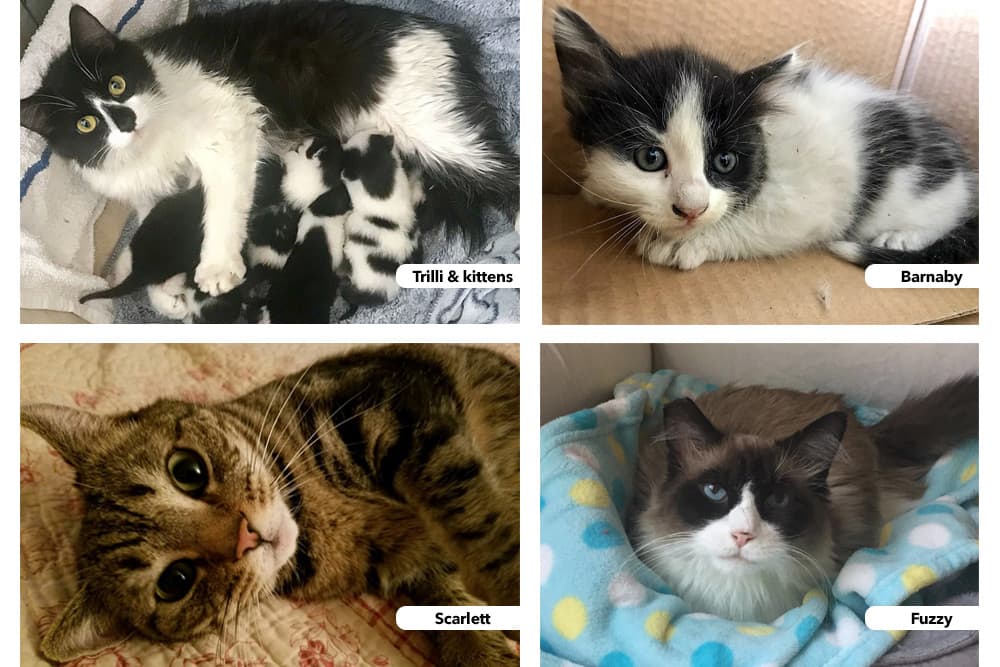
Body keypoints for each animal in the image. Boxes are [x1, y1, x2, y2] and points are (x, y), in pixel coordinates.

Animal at [19, 348, 520, 664]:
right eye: (175, 581)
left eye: (187, 470)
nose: (248, 536)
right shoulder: (417, 565)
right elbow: (453, 607)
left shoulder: (390, 399)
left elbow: (475, 520)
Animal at [20, 3, 520, 298]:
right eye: (85, 125)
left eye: (117, 85)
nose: (124, 120)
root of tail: (439, 33)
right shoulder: (148, 190)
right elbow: (147, 225)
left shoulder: (229, 124)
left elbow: (221, 204)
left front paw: (216, 265)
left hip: (428, 125)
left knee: (507, 174)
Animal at [552, 7, 980, 268]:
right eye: (650, 159)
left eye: (724, 162)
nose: (691, 210)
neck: (767, 149)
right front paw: (595, 189)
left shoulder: (813, 203)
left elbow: (767, 226)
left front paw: (685, 242)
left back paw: (901, 237)